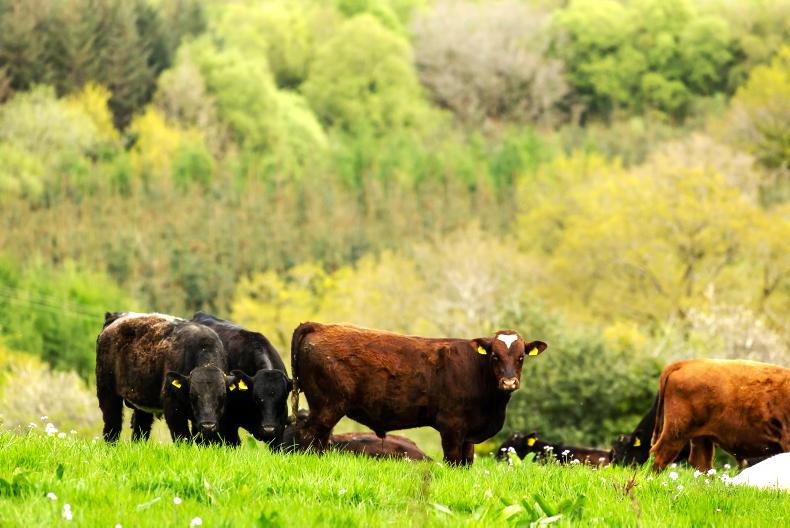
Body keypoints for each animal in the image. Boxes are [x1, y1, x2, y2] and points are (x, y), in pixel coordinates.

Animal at [96, 312, 237, 443]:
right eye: (192, 395)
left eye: (223, 395)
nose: (208, 425)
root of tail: (116, 317)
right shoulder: (173, 407)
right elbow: (183, 437)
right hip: (107, 393)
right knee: (112, 427)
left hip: (141, 403)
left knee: (140, 430)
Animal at [290, 322, 547, 465]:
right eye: (495, 355)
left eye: (521, 357)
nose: (509, 381)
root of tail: (318, 325)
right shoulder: (451, 426)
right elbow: (454, 461)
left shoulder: (468, 433)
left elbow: (466, 462)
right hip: (327, 406)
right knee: (309, 436)